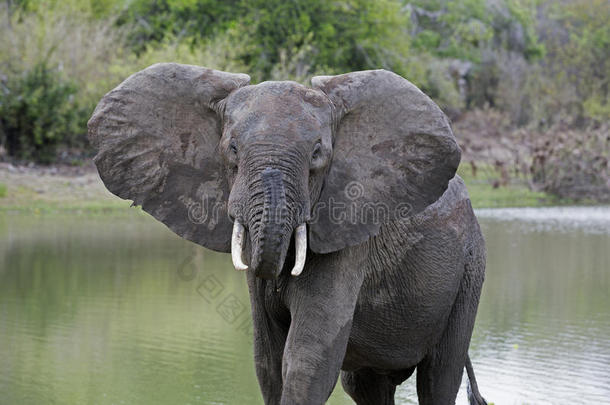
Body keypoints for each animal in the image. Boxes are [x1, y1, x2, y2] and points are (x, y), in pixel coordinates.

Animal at [86, 63, 484, 404]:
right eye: (232, 149)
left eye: (317, 154)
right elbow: (268, 361)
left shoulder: (349, 234)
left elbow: (307, 359)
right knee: (366, 386)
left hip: (470, 268)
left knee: (438, 377)